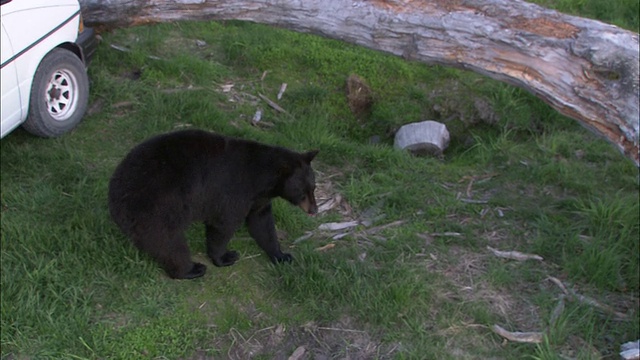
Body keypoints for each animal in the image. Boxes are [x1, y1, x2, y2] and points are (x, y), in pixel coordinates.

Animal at [109, 128, 320, 280]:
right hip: (158, 209)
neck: (262, 179)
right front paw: (224, 257)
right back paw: (191, 269)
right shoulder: (234, 193)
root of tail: (114, 198)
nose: (315, 209)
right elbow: (224, 225)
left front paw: (281, 255)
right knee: (170, 243)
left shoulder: (258, 199)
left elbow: (262, 224)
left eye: (314, 187)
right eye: (302, 192)